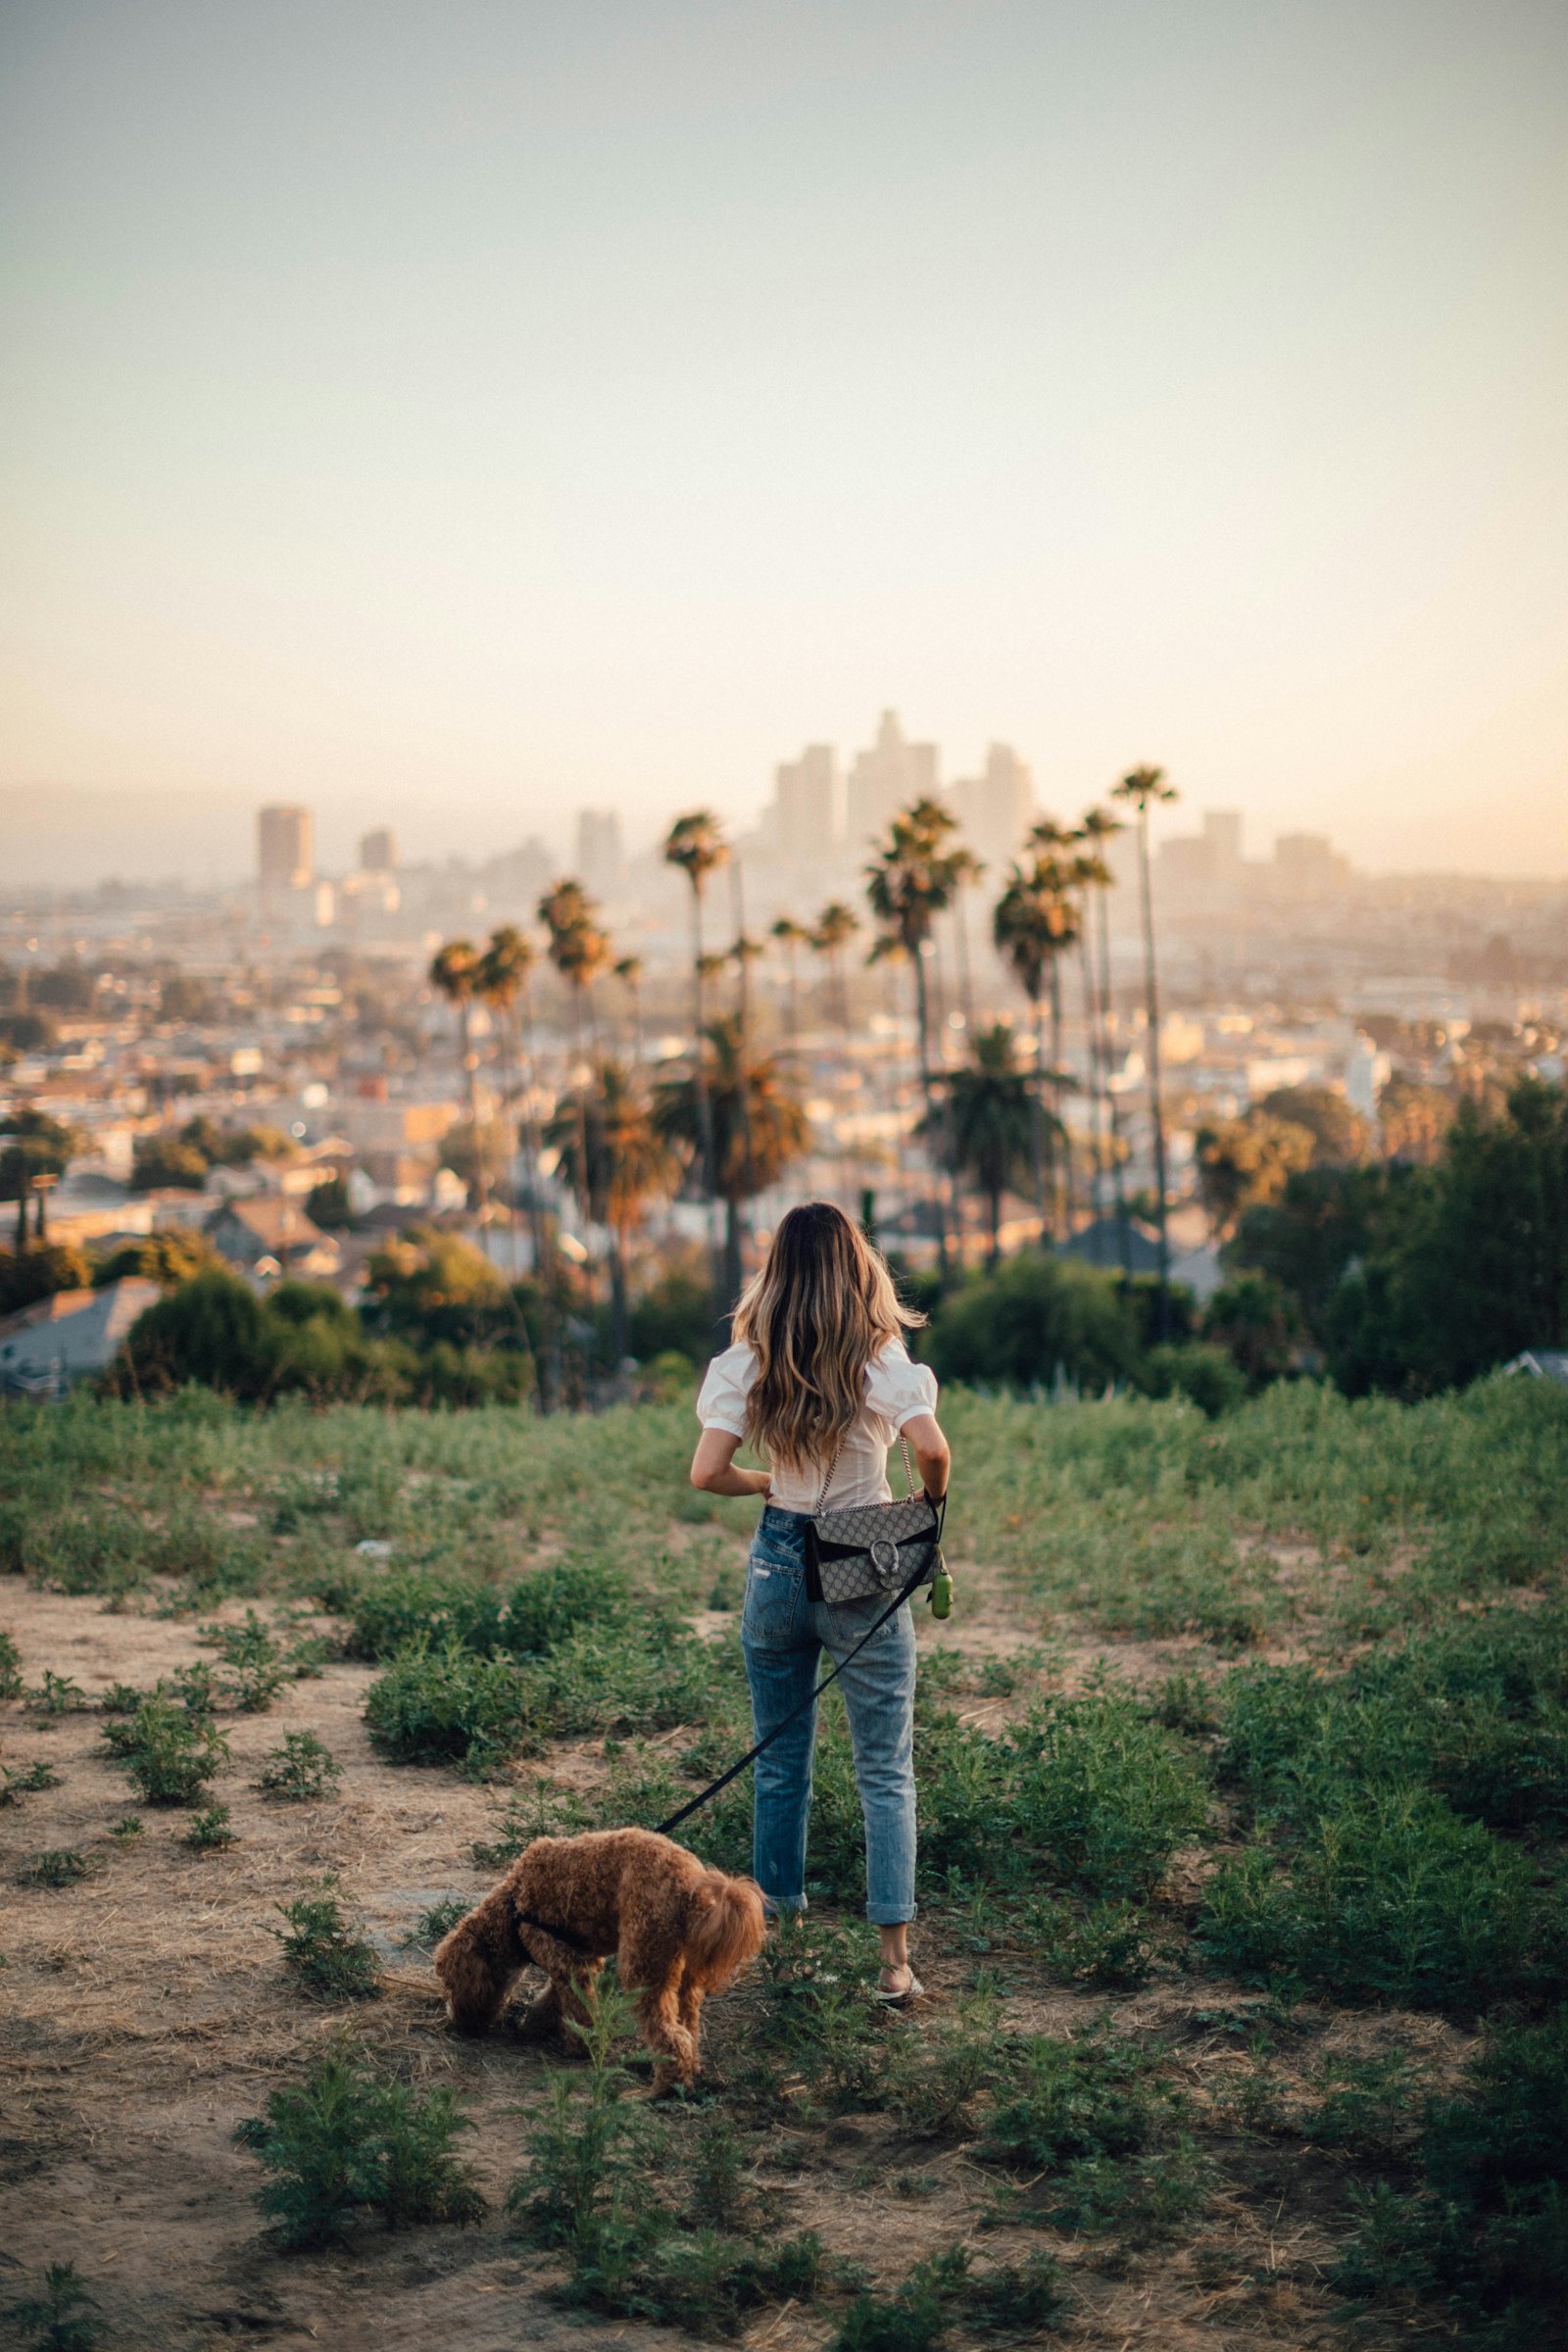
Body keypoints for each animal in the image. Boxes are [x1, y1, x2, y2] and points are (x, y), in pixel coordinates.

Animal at [434, 1825, 766, 2088]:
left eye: (450, 1984)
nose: (455, 2023)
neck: (512, 1910)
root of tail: (692, 1889)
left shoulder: (564, 1960)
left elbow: (577, 2008)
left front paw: (581, 2047)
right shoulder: (577, 1960)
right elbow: (555, 2001)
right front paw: (534, 2027)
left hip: (642, 1964)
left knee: (671, 2036)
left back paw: (663, 2089)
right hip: (680, 1971)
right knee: (688, 2026)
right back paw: (690, 2072)